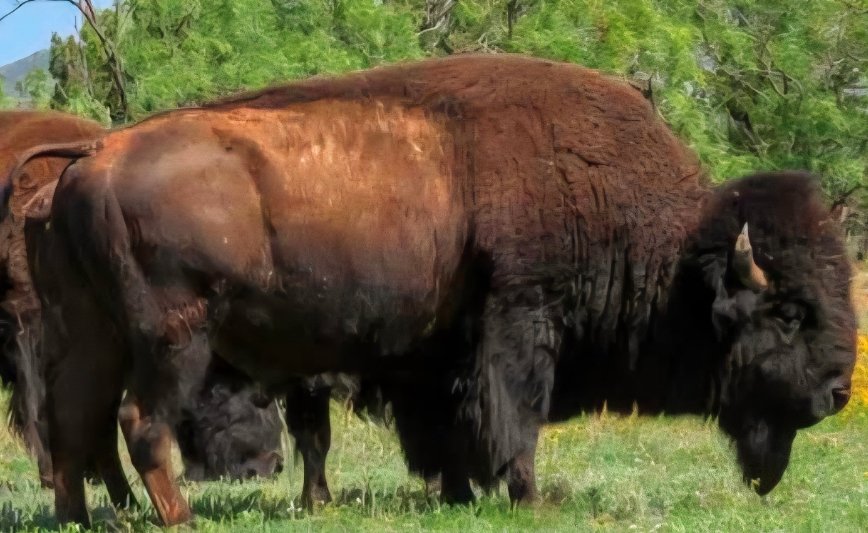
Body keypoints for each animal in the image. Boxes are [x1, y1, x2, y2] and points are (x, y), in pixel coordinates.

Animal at [9, 55, 856, 526]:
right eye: (790, 312)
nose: (839, 391)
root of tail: (95, 153)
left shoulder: (440, 351)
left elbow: (450, 421)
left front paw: (458, 491)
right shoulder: (522, 312)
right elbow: (513, 411)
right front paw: (526, 494)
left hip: (93, 334)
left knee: (75, 420)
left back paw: (82, 518)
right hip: (172, 336)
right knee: (139, 421)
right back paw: (178, 518)